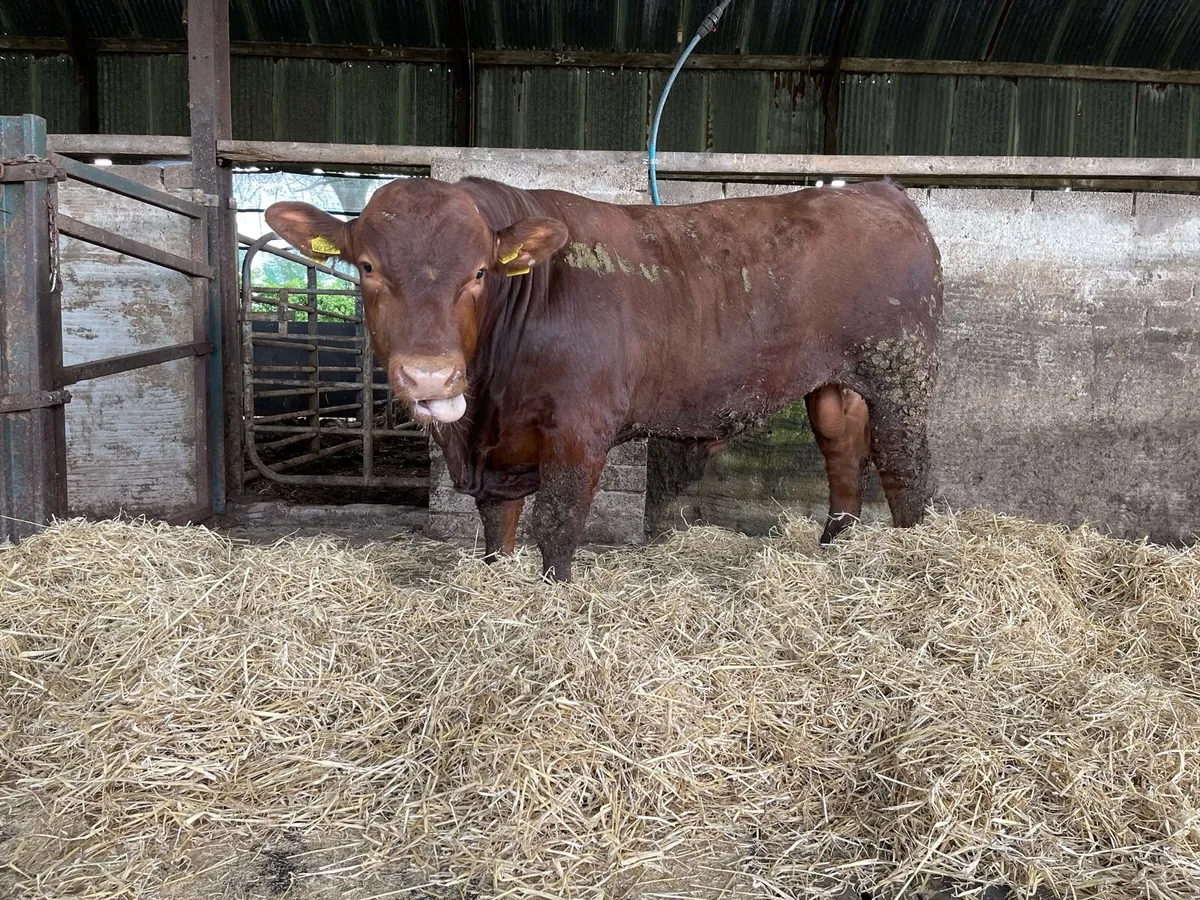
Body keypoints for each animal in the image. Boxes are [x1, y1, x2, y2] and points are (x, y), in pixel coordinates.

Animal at [266, 176, 943, 582]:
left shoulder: (579, 430)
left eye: (480, 271)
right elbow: (498, 528)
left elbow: (557, 524)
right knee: (842, 450)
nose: (429, 374)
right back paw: (835, 546)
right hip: (831, 381)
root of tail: (880, 190)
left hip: (901, 372)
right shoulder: (498, 452)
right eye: (366, 266)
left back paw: (912, 555)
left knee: (903, 465)